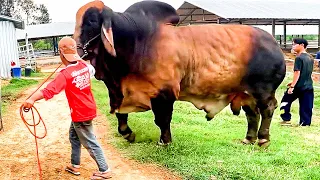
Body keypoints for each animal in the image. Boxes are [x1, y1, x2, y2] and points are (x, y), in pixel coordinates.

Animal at [74, 0, 286, 148]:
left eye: (92, 21)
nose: (76, 49)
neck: (138, 43)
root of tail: (273, 42)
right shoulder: (119, 93)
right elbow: (121, 116)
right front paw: (128, 134)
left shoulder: (164, 93)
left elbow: (162, 119)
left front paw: (164, 142)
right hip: (245, 93)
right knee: (252, 113)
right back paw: (249, 139)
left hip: (263, 91)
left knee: (267, 109)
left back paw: (263, 139)